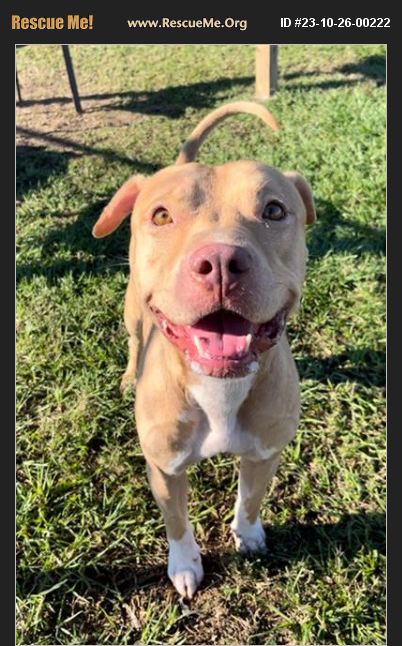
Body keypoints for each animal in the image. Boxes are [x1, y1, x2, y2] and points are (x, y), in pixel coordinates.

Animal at [92, 101, 316, 599]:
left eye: (274, 210)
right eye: (160, 216)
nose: (221, 262)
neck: (218, 387)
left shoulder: (264, 452)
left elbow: (250, 498)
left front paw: (248, 536)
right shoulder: (164, 469)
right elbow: (177, 523)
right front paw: (185, 565)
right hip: (131, 311)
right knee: (133, 339)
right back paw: (126, 376)